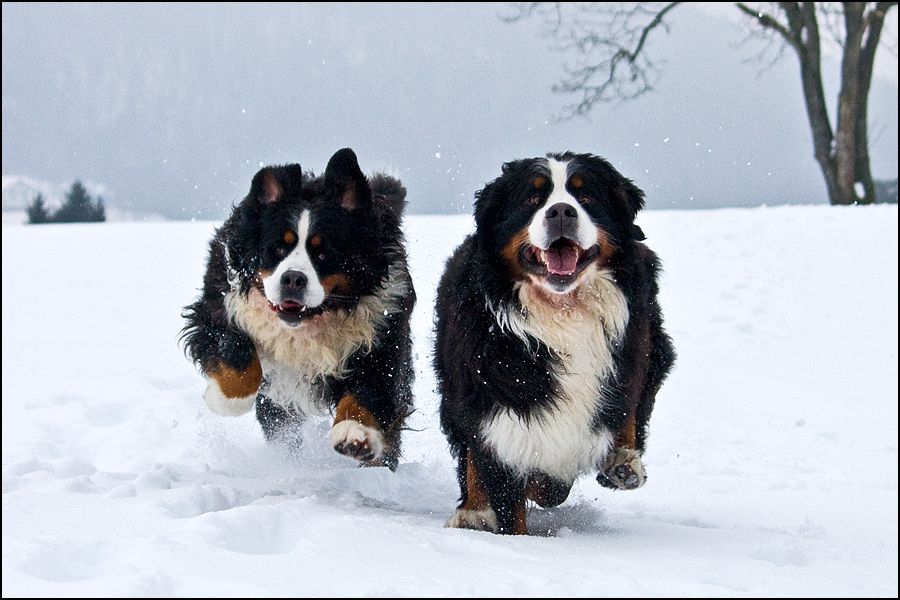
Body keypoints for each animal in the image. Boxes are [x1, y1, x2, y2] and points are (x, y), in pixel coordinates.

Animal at [183, 148, 414, 472]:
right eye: (278, 248)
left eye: (323, 253)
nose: (293, 278)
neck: (306, 325)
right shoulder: (219, 305)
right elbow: (236, 353)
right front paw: (224, 400)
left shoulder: (381, 334)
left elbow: (369, 388)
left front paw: (355, 435)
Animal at [436, 151, 676, 536]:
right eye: (532, 199)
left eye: (586, 196)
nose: (561, 211)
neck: (562, 313)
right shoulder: (495, 396)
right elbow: (502, 475)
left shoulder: (631, 352)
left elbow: (624, 410)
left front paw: (619, 461)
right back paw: (473, 512)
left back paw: (622, 464)